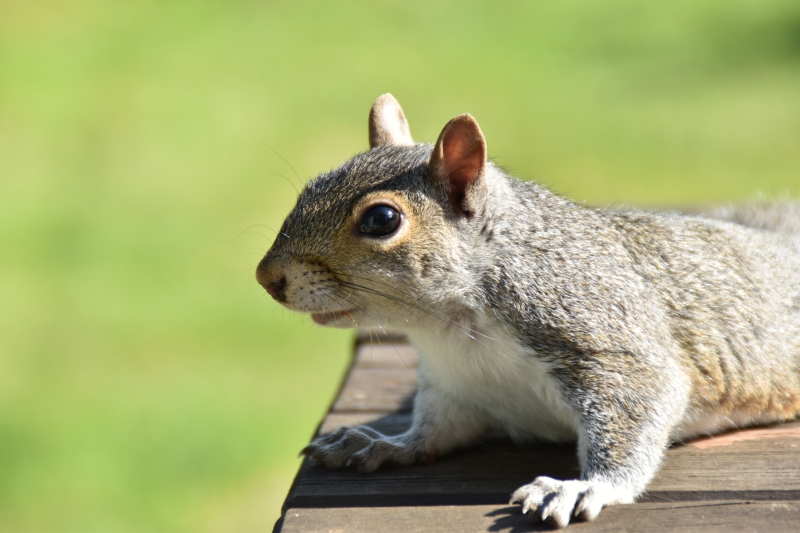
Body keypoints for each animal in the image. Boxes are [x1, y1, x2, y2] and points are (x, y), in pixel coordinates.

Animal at [258, 93, 800, 524]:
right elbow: (433, 432)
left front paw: (587, 486)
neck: (451, 325)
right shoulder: (454, 388)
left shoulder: (603, 337)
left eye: (381, 219)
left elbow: (639, 407)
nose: (267, 278)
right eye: (311, 187)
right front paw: (383, 444)